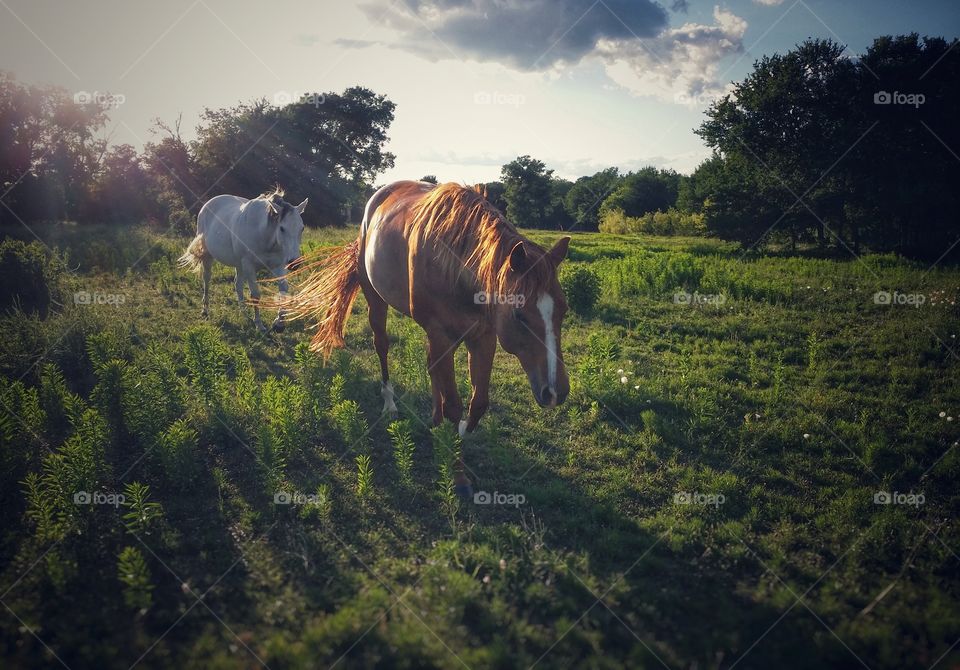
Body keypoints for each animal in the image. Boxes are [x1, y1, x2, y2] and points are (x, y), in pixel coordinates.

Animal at [179, 186, 308, 334]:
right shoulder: (249, 266)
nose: (294, 263)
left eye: (302, 228)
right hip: (208, 256)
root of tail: (207, 205)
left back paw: (244, 312)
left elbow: (284, 290)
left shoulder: (278, 266)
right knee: (207, 279)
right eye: (282, 228)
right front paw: (259, 324)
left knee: (237, 284)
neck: (264, 235)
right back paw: (205, 310)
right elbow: (255, 295)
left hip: (239, 265)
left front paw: (279, 324)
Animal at [278, 181, 568, 496]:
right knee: (382, 346)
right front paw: (458, 474)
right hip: (376, 301)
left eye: (564, 309)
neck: (457, 266)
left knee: (431, 366)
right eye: (519, 315)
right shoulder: (442, 334)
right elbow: (454, 404)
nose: (556, 392)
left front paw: (459, 431)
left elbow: (478, 403)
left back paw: (434, 419)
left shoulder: (483, 336)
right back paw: (390, 403)